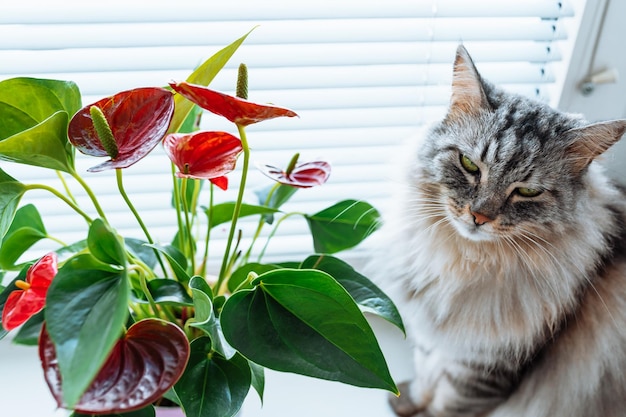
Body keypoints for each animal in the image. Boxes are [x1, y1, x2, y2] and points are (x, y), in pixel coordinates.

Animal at [364, 44, 624, 414]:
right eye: (469, 165)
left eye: (527, 191)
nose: (479, 216)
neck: (462, 265)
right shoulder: (434, 338)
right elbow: (425, 373)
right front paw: (406, 401)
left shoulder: (485, 367)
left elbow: (444, 406)